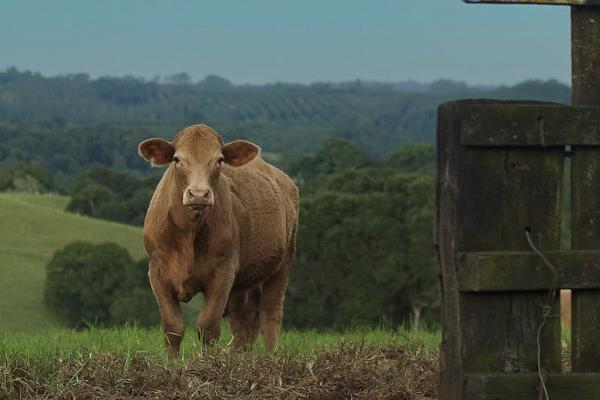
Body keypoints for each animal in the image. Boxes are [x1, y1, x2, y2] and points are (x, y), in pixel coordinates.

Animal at [136, 123, 298, 354]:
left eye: (219, 160)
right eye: (177, 159)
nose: (198, 194)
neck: (189, 232)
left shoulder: (223, 271)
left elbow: (208, 327)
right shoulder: (157, 270)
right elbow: (173, 328)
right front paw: (172, 363)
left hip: (282, 265)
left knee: (270, 315)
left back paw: (271, 357)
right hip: (243, 281)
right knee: (243, 324)